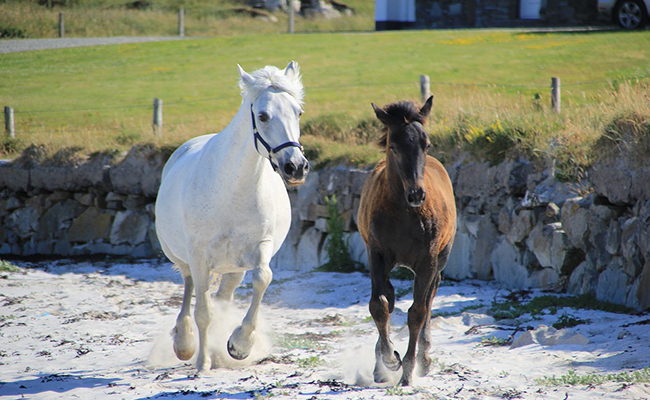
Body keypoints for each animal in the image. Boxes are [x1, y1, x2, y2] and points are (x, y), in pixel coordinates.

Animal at [156, 61, 308, 372]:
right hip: (184, 257)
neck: (232, 190)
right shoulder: (199, 255)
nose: (296, 167)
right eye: (262, 116)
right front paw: (202, 364)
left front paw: (239, 344)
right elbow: (203, 310)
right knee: (190, 287)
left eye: (298, 112)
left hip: (232, 268)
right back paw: (185, 343)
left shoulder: (260, 247)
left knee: (222, 297)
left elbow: (262, 278)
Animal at [354, 95, 456, 386]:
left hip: (440, 259)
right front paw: (389, 360)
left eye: (426, 144)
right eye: (394, 146)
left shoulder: (428, 261)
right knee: (388, 296)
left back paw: (424, 357)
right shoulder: (375, 254)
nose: (416, 194)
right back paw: (380, 365)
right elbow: (379, 305)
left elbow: (417, 312)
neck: (403, 213)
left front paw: (409, 370)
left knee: (430, 297)